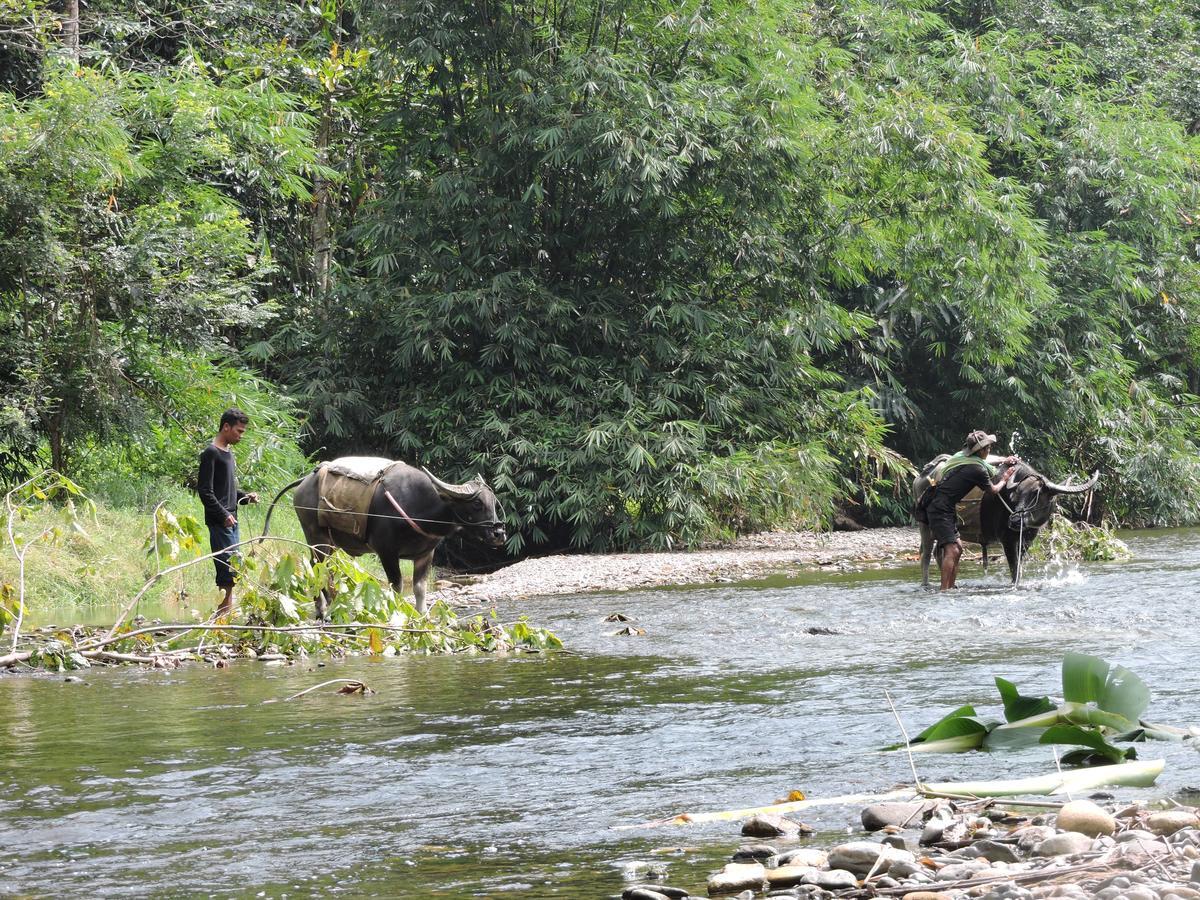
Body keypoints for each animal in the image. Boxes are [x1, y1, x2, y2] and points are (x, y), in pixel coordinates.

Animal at [262, 460, 506, 619]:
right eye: (477, 504)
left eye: (494, 503)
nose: (499, 533)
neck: (422, 506)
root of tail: (306, 480)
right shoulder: (386, 552)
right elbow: (396, 586)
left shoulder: (425, 554)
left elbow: (419, 588)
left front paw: (422, 616)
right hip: (316, 536)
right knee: (320, 569)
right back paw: (326, 610)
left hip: (328, 541)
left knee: (319, 568)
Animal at [916, 458, 1099, 592]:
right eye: (1017, 494)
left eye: (1036, 494)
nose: (1015, 520)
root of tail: (921, 477)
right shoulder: (1007, 540)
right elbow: (1014, 567)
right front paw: (1015, 585)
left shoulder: (1026, 540)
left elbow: (1020, 566)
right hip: (925, 526)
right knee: (926, 555)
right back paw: (926, 584)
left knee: (939, 552)